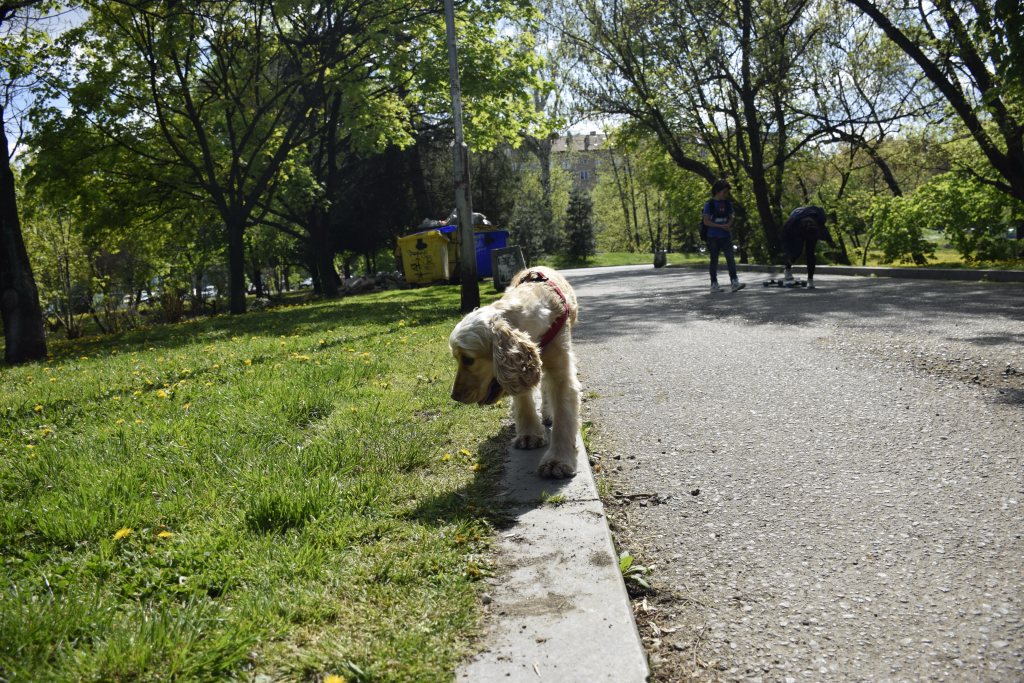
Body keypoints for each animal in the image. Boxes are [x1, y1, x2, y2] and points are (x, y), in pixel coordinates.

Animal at [450, 264, 585, 479]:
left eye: (468, 359)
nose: (454, 396)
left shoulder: (562, 371)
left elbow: (564, 418)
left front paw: (557, 461)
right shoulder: (523, 371)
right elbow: (523, 399)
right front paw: (529, 434)